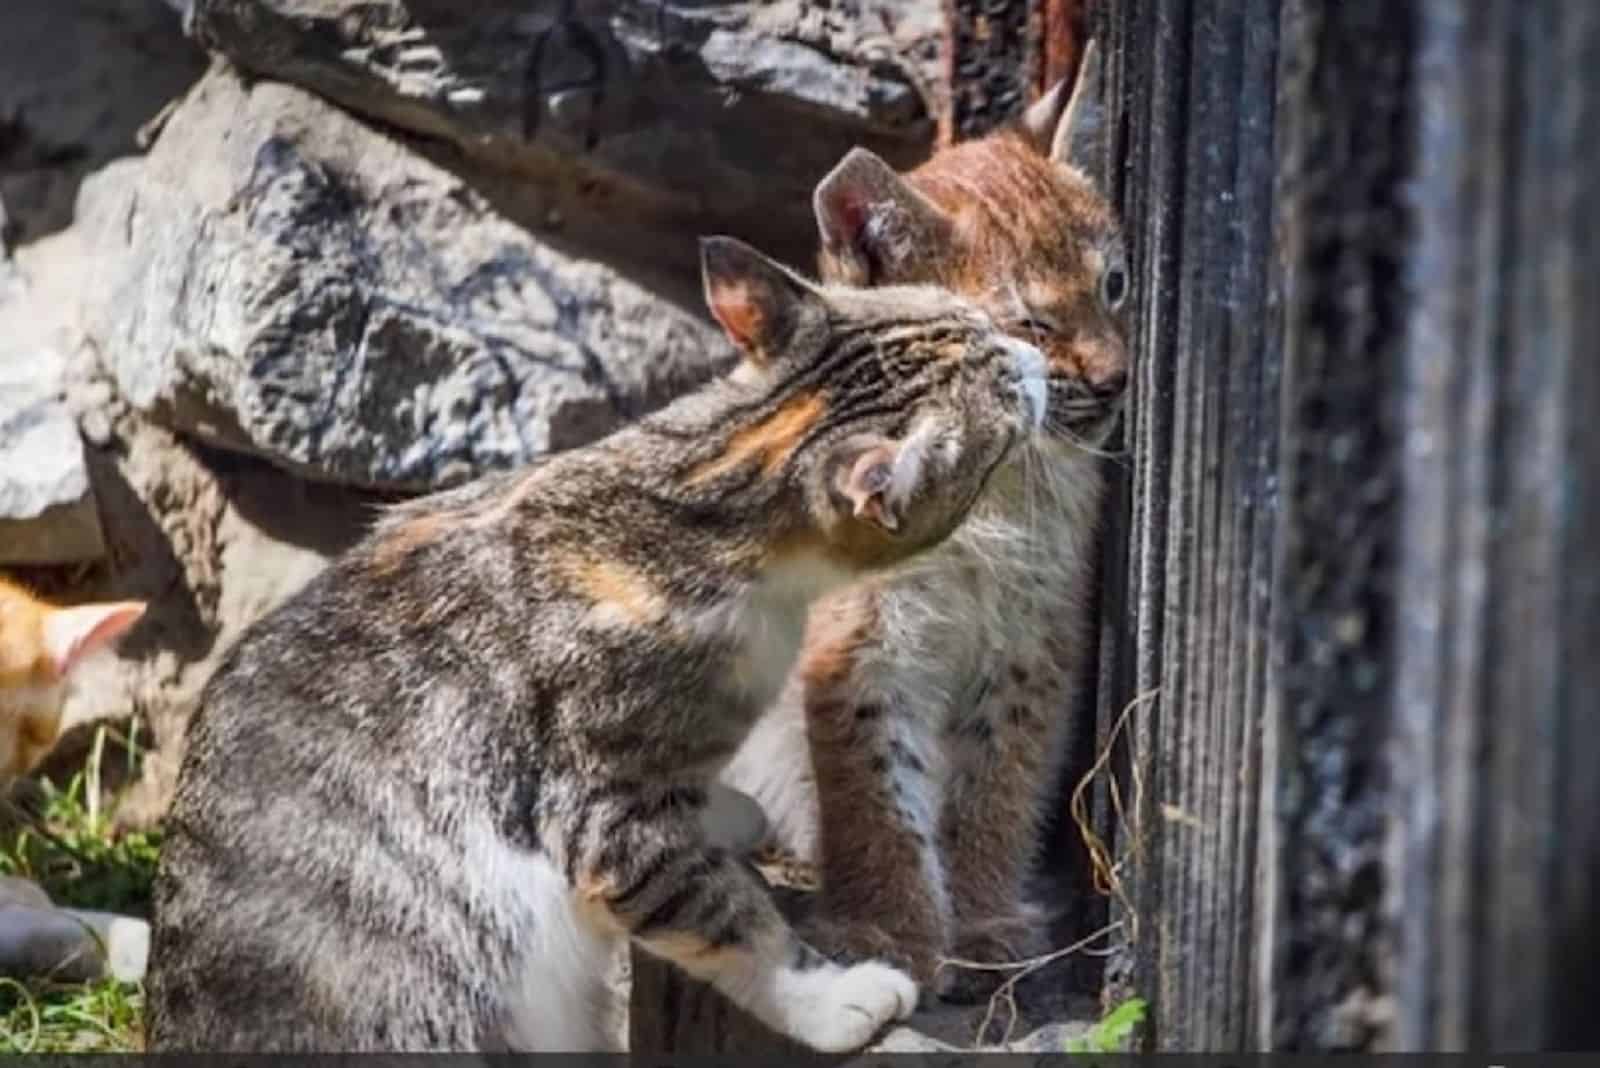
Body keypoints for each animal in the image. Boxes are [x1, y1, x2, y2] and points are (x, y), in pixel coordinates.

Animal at [147, 235, 1049, 1048]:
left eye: (978, 320)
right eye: (1004, 399)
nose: (1035, 358)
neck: (697, 499)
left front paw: (720, 809)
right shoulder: (605, 815)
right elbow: (729, 918)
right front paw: (832, 999)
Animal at [720, 37, 1132, 997]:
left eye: (1116, 285)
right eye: (1029, 326)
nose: (1116, 381)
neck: (991, 487)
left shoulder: (1035, 637)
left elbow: (998, 778)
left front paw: (978, 919)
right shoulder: (861, 640)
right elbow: (875, 792)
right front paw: (890, 933)